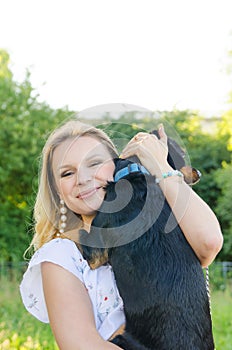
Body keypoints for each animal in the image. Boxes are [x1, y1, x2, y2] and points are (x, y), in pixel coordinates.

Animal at [79, 132, 215, 350]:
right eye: (181, 157)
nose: (199, 173)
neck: (134, 174)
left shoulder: (95, 253)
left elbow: (82, 232)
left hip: (122, 339)